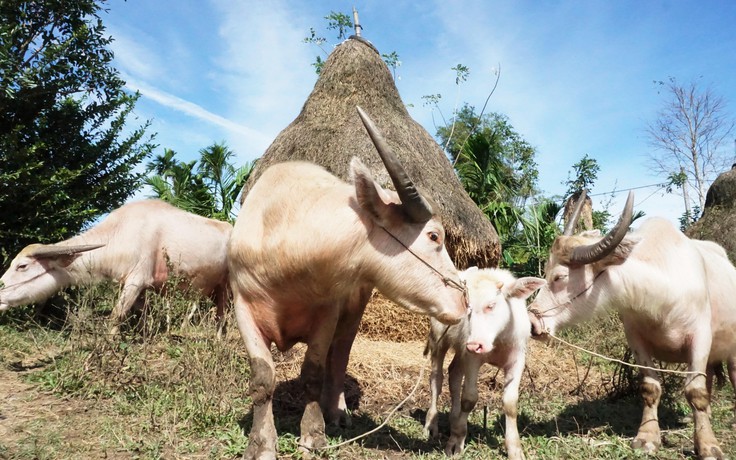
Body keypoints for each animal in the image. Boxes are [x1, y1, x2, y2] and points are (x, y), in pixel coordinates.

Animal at [0, 200, 231, 334]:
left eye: (22, 266)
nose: (0, 292)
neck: (121, 233)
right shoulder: (138, 288)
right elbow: (141, 316)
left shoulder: (136, 281)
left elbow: (116, 315)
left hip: (227, 288)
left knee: (222, 317)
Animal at [230, 107, 468, 456]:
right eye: (434, 236)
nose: (463, 300)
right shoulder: (243, 308)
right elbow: (262, 378)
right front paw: (261, 444)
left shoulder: (328, 312)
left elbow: (313, 374)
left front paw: (313, 433)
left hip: (353, 312)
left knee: (340, 354)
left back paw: (337, 410)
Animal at [422, 268, 544, 458]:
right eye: (468, 308)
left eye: (491, 305)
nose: (475, 345)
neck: (498, 339)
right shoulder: (472, 358)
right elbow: (469, 398)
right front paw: (456, 442)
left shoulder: (517, 360)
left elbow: (510, 403)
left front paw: (515, 450)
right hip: (439, 339)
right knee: (436, 378)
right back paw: (431, 424)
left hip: (461, 349)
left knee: (454, 373)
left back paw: (454, 419)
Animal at [528, 189, 736, 458]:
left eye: (559, 277)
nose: (532, 322)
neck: (662, 294)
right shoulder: (636, 340)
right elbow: (650, 388)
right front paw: (647, 437)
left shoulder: (700, 337)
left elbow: (695, 391)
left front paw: (708, 445)